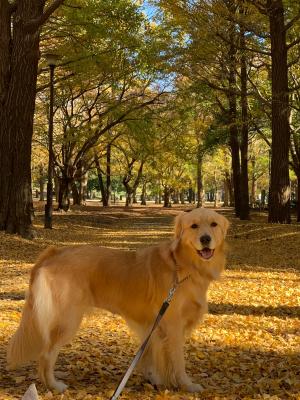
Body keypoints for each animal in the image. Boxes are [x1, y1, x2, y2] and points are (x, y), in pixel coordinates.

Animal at [7, 209, 229, 394]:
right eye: (194, 226)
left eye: (213, 224)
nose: (206, 239)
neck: (182, 265)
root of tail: (54, 252)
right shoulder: (172, 326)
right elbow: (178, 361)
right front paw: (186, 385)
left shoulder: (152, 326)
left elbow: (149, 355)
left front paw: (154, 379)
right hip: (67, 320)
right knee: (46, 354)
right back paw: (53, 385)